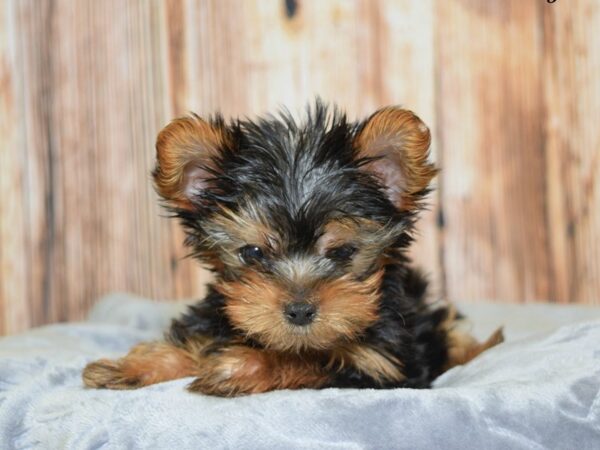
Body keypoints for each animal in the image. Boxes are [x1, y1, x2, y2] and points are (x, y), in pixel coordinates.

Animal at [83, 103, 502, 398]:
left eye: (341, 252)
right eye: (253, 253)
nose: (300, 310)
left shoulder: (381, 367)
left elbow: (306, 362)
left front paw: (243, 367)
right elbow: (197, 340)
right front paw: (131, 367)